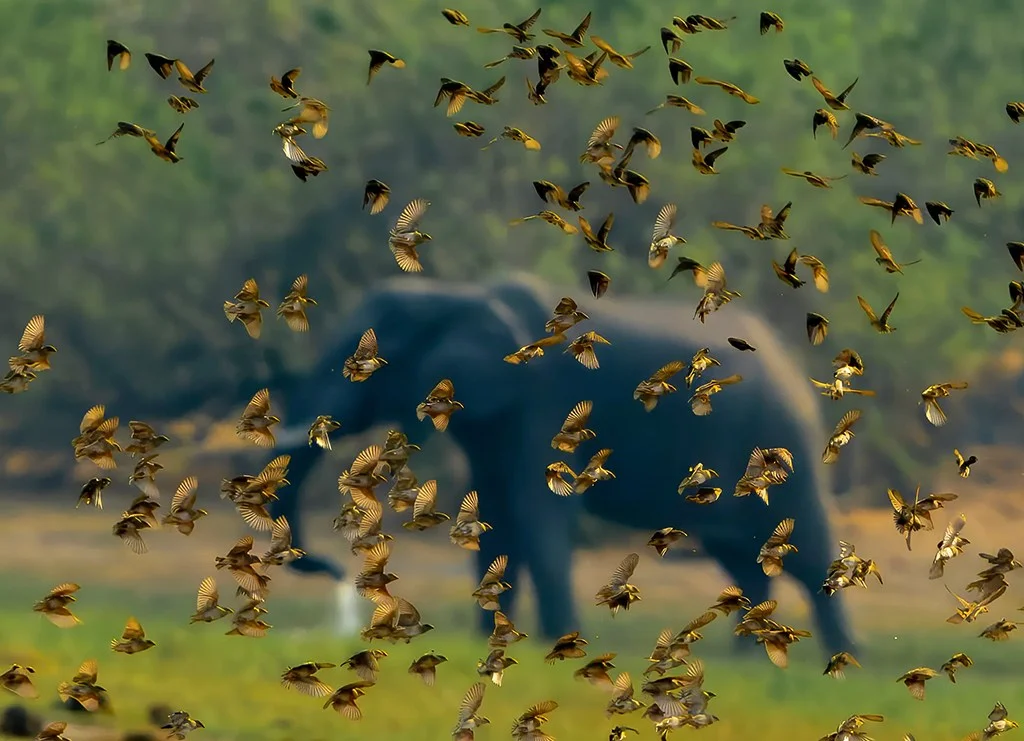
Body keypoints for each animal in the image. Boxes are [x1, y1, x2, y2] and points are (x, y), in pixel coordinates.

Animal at [269, 273, 857, 657]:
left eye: (363, 362)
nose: (334, 573)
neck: (459, 294)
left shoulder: (541, 399)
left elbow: (536, 512)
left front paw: (557, 643)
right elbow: (494, 513)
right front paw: (490, 640)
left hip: (783, 444)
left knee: (807, 553)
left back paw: (846, 665)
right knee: (744, 558)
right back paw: (747, 660)